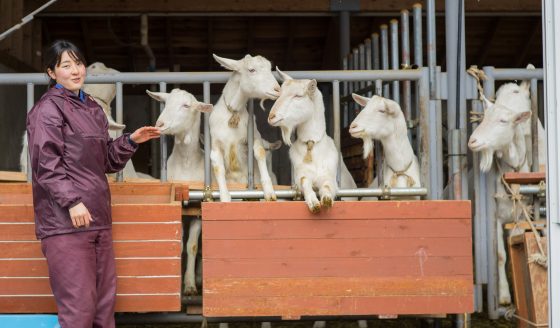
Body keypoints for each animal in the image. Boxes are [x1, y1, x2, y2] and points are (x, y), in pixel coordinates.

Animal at [209, 54, 280, 201]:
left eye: (269, 68)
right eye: (251, 70)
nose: (278, 90)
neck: (233, 112)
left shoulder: (254, 135)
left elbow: (260, 152)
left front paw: (269, 190)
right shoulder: (215, 144)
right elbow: (218, 167)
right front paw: (224, 198)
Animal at [270, 68, 356, 214]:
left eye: (298, 96)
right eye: (279, 93)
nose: (271, 116)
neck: (311, 144)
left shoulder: (329, 175)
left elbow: (327, 186)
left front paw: (326, 200)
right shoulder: (300, 174)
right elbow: (304, 182)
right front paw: (313, 203)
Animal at [468, 72, 548, 304]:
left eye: (503, 121)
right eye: (483, 118)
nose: (473, 140)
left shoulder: (520, 216)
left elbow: (515, 244)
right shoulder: (494, 218)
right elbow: (500, 255)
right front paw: (503, 295)